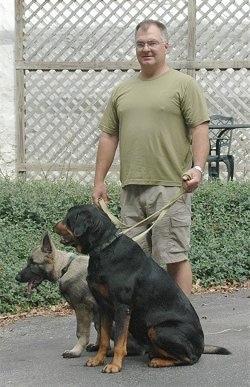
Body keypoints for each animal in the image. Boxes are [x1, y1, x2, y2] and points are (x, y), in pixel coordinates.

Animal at [15, 232, 99, 360]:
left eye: (33, 263)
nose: (17, 277)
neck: (66, 267)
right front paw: (99, 346)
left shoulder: (82, 309)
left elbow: (81, 333)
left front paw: (76, 351)